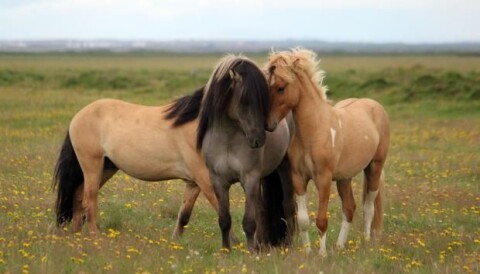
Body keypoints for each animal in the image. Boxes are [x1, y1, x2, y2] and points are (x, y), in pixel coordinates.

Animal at [192, 54, 296, 250]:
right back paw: (262, 244)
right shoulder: (218, 181)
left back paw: (288, 244)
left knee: (287, 205)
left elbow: (249, 221)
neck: (228, 140)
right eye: (244, 101)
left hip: (284, 168)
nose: (259, 139)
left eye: (264, 101)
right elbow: (224, 219)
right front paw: (226, 250)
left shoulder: (249, 179)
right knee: (262, 208)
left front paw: (250, 251)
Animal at [262, 49, 390, 256]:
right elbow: (304, 220)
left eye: (281, 88)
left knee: (368, 207)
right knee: (350, 208)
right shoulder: (299, 178)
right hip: (344, 178)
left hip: (374, 168)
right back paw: (339, 246)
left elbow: (321, 220)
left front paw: (322, 254)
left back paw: (366, 241)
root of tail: (374, 105)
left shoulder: (323, 179)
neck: (314, 130)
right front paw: (307, 253)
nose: (268, 124)